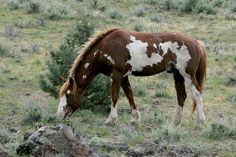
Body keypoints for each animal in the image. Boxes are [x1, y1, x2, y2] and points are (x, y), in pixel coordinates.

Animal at [56, 27, 206, 127]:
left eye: (68, 94)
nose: (59, 115)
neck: (106, 46)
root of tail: (196, 42)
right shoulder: (123, 77)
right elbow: (130, 95)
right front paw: (135, 119)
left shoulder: (116, 75)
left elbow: (114, 96)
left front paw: (111, 120)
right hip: (177, 74)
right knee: (181, 96)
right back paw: (176, 122)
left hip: (188, 74)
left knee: (197, 94)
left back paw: (200, 123)